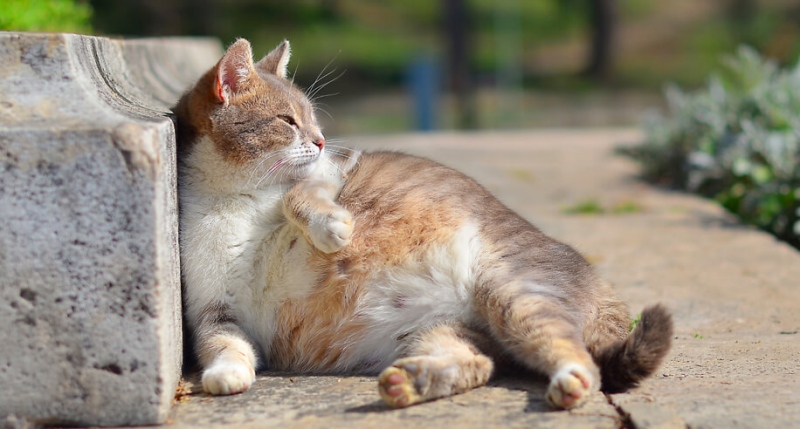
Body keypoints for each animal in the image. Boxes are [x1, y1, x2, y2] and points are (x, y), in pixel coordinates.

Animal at [175, 39, 676, 408]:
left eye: (314, 120)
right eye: (287, 120)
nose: (319, 140)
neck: (233, 200)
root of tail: (601, 285)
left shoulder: (331, 172)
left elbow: (300, 196)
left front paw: (333, 229)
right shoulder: (214, 313)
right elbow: (226, 346)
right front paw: (225, 375)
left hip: (516, 294)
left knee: (581, 361)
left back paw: (570, 383)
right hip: (438, 332)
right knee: (479, 363)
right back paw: (411, 382)